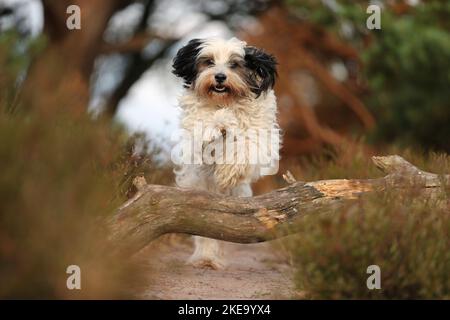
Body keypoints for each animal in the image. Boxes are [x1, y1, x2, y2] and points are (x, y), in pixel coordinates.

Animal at [171, 37, 278, 268]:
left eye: (234, 64)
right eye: (209, 62)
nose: (220, 77)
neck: (225, 101)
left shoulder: (259, 136)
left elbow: (246, 147)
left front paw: (228, 171)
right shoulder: (197, 138)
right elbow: (208, 128)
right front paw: (221, 122)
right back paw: (206, 258)